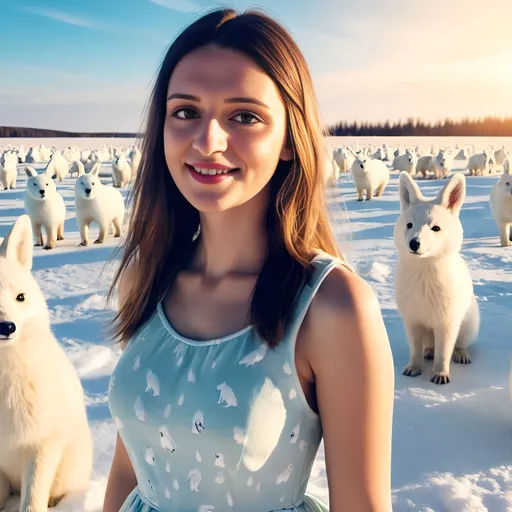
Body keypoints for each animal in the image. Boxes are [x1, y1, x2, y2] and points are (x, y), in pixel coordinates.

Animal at [392, 172, 480, 384]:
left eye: (436, 228)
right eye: (409, 225)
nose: (414, 243)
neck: (424, 273)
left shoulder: (447, 322)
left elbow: (444, 352)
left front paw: (440, 374)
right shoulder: (412, 321)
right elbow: (415, 349)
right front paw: (413, 368)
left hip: (467, 325)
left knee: (460, 344)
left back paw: (461, 354)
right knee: (429, 347)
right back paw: (428, 352)